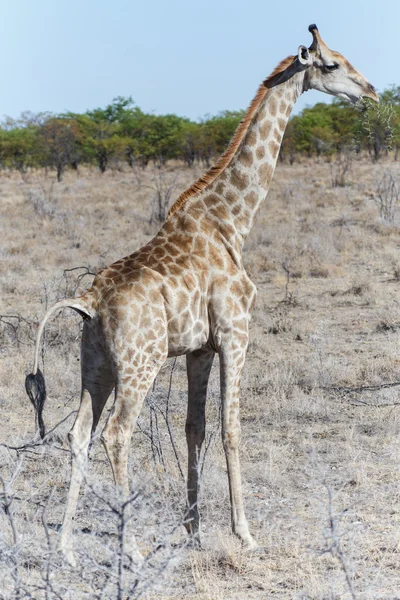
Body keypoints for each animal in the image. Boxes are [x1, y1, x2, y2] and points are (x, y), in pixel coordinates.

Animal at [25, 24, 378, 568]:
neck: (232, 222)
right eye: (333, 64)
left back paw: (64, 548)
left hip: (95, 366)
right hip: (140, 364)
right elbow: (232, 428)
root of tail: (88, 303)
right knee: (117, 434)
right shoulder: (236, 333)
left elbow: (196, 428)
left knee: (79, 434)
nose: (372, 92)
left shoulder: (198, 349)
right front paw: (244, 534)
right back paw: (133, 549)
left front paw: (193, 530)